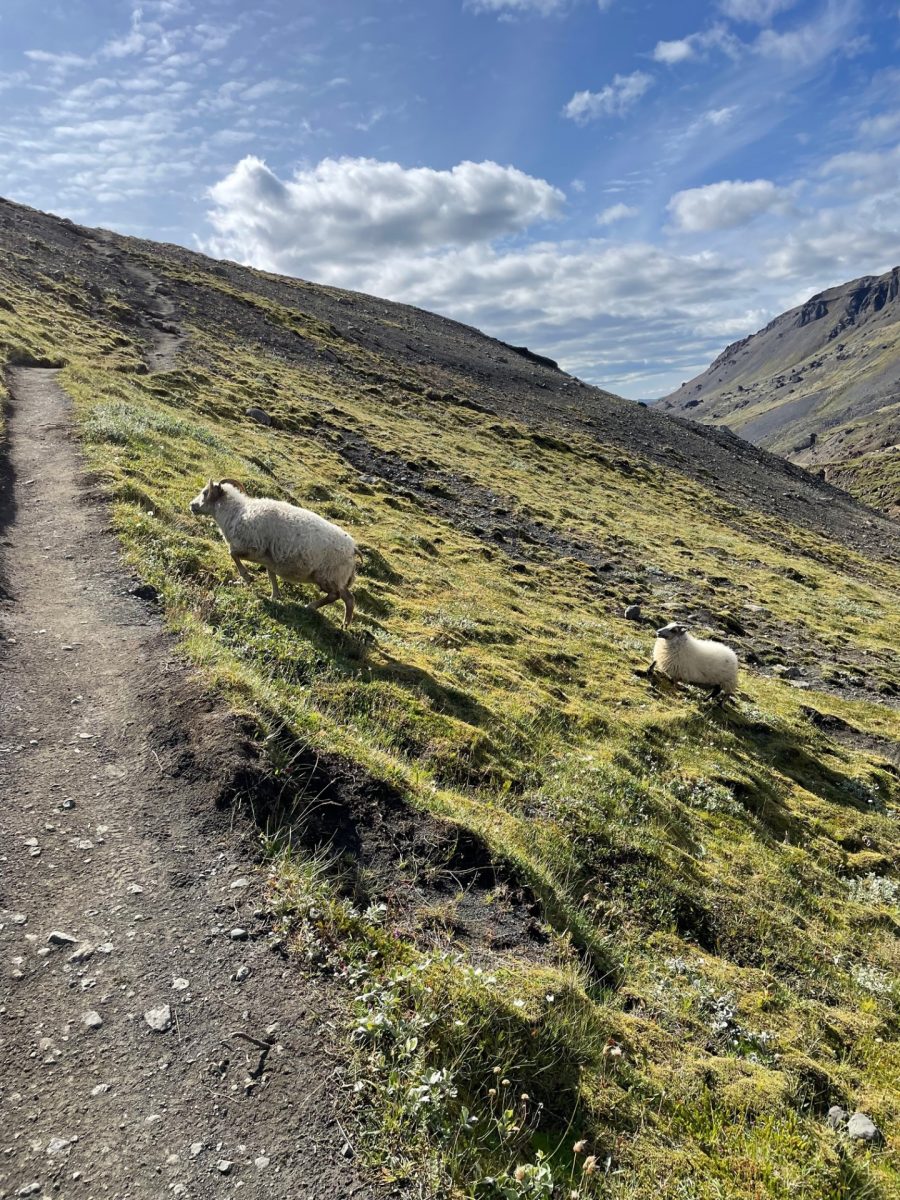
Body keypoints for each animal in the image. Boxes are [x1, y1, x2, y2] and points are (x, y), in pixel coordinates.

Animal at [188, 477, 357, 628]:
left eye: (205, 492)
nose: (191, 505)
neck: (236, 513)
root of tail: (354, 549)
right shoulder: (269, 559)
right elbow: (271, 575)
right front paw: (275, 595)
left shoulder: (252, 547)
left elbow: (232, 554)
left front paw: (247, 577)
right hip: (336, 578)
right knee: (344, 597)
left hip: (329, 576)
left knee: (341, 597)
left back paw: (324, 613)